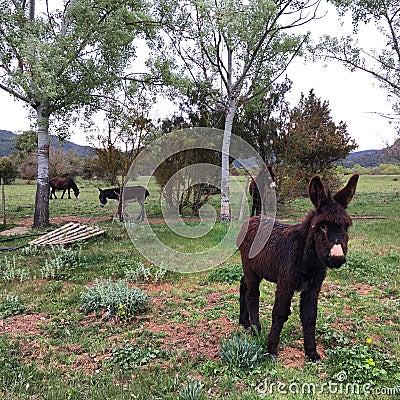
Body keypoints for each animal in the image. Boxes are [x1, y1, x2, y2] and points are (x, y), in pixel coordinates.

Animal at [238, 173, 360, 360]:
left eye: (346, 226)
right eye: (322, 226)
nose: (337, 258)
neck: (306, 260)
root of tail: (253, 219)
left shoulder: (313, 287)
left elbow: (309, 316)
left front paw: (312, 353)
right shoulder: (285, 283)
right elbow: (280, 312)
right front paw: (271, 349)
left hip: (256, 270)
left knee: (243, 284)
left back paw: (244, 323)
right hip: (249, 267)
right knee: (253, 294)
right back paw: (256, 330)